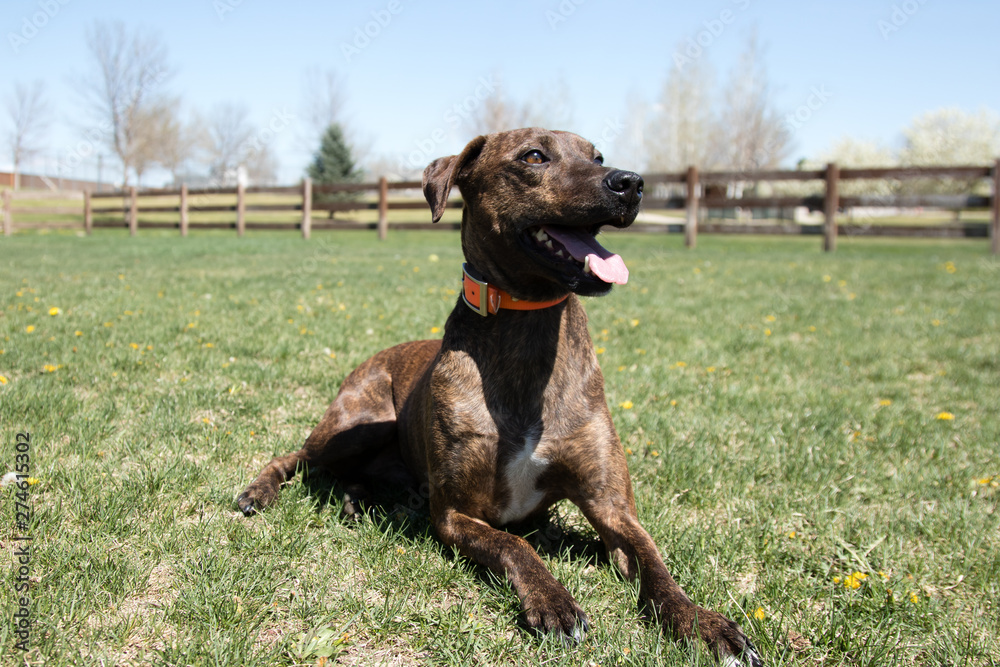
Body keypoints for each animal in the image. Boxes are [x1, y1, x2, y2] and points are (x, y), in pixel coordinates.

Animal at [238, 128, 760, 664]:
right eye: (534, 156)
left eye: (598, 156)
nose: (631, 183)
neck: (529, 327)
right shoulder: (454, 514)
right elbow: (516, 546)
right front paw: (553, 601)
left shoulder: (611, 505)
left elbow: (654, 561)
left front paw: (701, 621)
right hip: (354, 425)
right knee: (296, 456)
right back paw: (260, 492)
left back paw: (358, 500)